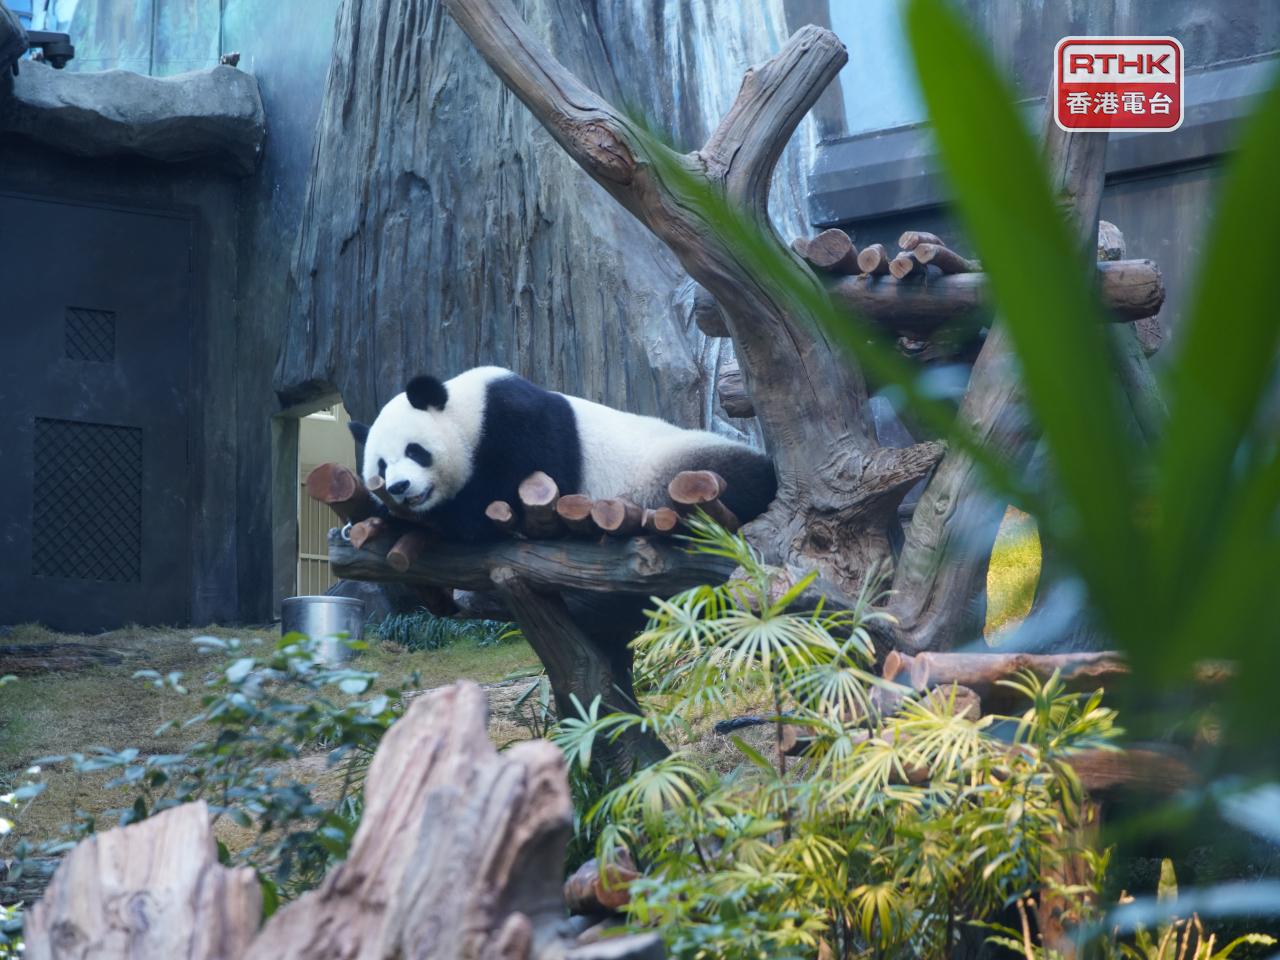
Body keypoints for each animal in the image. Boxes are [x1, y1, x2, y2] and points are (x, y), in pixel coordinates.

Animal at [345, 366, 773, 545]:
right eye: (381, 467)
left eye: (415, 451)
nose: (400, 487)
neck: (469, 411)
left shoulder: (518, 422)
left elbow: (498, 496)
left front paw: (447, 514)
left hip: (683, 467)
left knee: (742, 478)